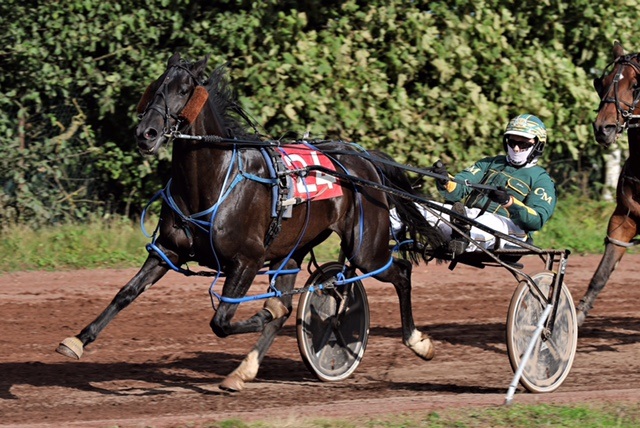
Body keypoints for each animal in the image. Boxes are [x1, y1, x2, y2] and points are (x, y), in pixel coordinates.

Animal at [55, 52, 444, 392]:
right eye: (157, 86)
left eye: (184, 89)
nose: (146, 134)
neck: (214, 181)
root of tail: (363, 159)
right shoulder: (167, 250)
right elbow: (127, 292)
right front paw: (77, 339)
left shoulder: (246, 261)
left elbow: (223, 322)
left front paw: (264, 312)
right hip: (292, 252)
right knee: (293, 301)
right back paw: (243, 370)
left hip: (365, 247)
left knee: (401, 272)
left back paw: (418, 342)